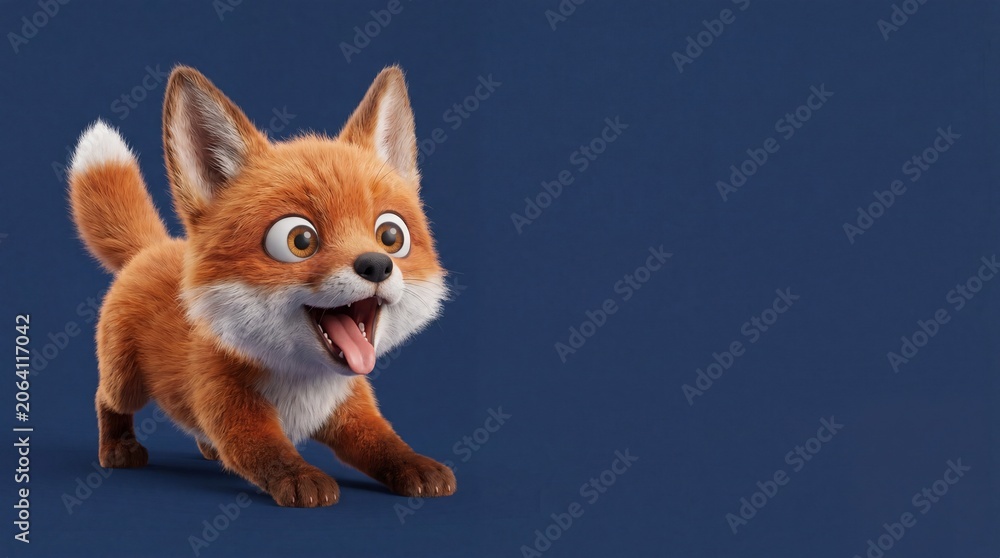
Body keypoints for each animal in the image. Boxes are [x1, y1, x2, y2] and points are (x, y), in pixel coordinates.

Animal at [66, 65, 455, 507]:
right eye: (300, 240)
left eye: (391, 235)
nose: (376, 265)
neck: (303, 382)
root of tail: (152, 248)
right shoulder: (230, 406)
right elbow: (268, 452)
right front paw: (301, 478)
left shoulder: (350, 409)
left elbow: (385, 443)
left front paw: (416, 465)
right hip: (126, 381)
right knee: (105, 398)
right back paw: (118, 448)